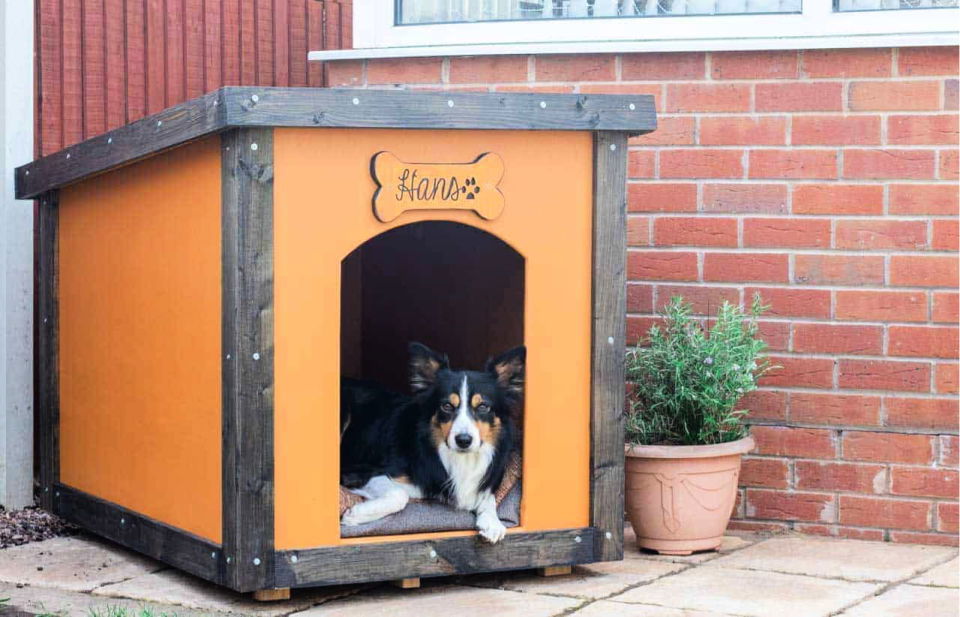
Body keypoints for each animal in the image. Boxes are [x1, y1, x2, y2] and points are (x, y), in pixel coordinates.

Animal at [340, 342, 524, 544]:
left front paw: (493, 522)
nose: (463, 441)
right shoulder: (362, 472)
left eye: (483, 406)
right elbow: (400, 495)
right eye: (447, 406)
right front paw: (356, 515)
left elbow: (488, 496)